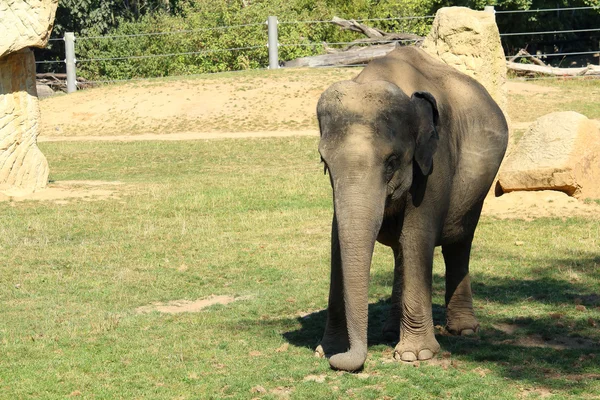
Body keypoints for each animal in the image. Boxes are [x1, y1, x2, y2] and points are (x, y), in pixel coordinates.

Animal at [316, 47, 508, 372]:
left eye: (392, 161)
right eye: (324, 163)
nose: (340, 361)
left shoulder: (435, 165)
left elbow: (418, 237)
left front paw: (414, 355)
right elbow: (337, 241)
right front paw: (326, 349)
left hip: (477, 189)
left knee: (459, 243)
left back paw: (464, 330)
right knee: (400, 251)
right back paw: (391, 330)